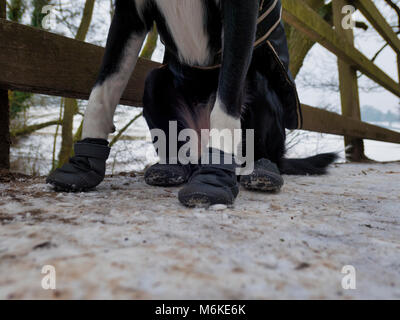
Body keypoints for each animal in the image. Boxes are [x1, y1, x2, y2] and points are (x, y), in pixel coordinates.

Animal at [45, 0, 336, 208]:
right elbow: (102, 89)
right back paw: (172, 168)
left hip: (258, 83)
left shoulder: (241, 11)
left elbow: (227, 100)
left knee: (264, 151)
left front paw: (215, 176)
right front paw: (85, 162)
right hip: (155, 83)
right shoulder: (129, 14)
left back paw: (261, 170)